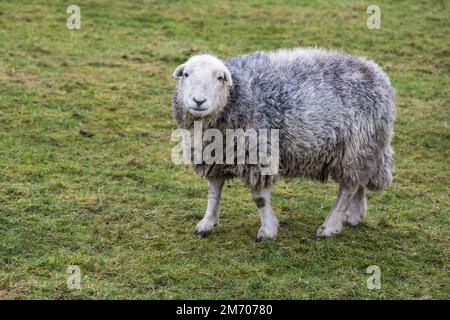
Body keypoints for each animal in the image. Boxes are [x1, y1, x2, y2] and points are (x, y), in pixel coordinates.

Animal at [171, 48, 396, 240]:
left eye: (219, 78)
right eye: (186, 75)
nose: (198, 101)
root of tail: (376, 71)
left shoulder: (258, 155)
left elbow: (259, 199)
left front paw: (267, 231)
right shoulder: (214, 156)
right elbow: (213, 193)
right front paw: (207, 224)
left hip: (356, 146)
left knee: (348, 188)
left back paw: (329, 226)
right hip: (365, 149)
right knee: (359, 181)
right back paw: (354, 216)